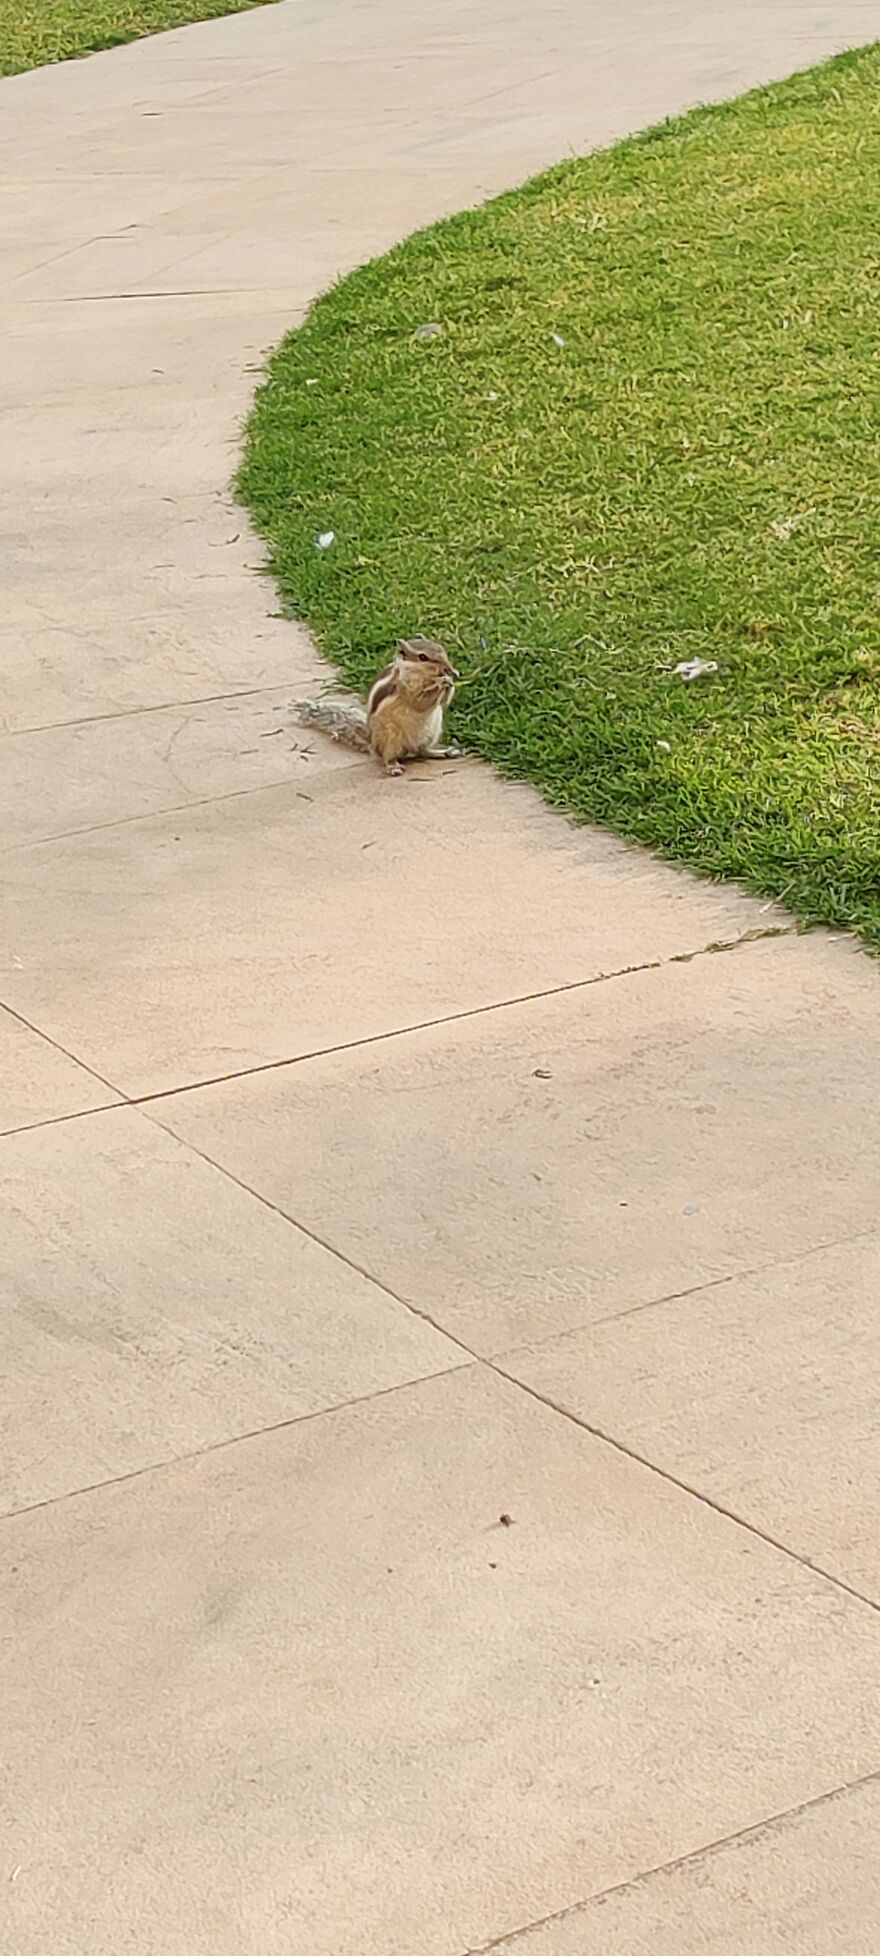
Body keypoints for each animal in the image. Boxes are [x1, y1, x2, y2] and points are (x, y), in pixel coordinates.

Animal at [295, 638, 460, 777]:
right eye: (423, 657)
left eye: (441, 648)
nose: (448, 668)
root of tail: (372, 744)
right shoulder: (404, 688)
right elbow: (419, 701)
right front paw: (443, 682)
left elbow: (442, 701)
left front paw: (451, 678)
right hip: (391, 738)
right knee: (389, 756)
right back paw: (394, 767)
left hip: (431, 732)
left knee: (422, 751)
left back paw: (445, 752)